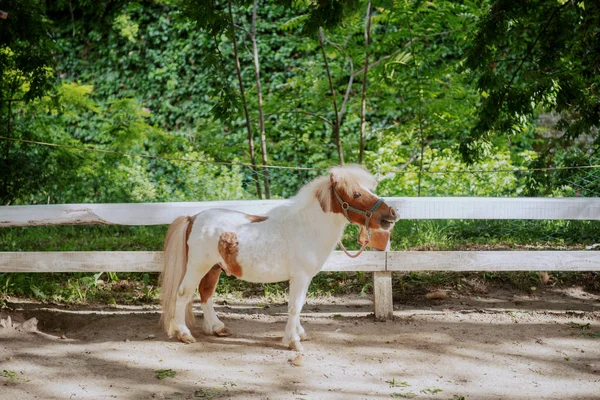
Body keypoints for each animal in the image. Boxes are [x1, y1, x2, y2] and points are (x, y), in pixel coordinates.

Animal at [158, 163, 398, 350]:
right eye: (356, 194)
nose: (392, 213)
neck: (307, 227)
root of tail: (193, 217)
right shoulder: (299, 277)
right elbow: (294, 307)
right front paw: (293, 341)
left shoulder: (306, 278)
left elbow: (300, 305)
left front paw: (299, 333)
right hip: (198, 266)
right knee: (183, 293)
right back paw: (184, 334)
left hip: (214, 268)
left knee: (205, 294)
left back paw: (217, 328)